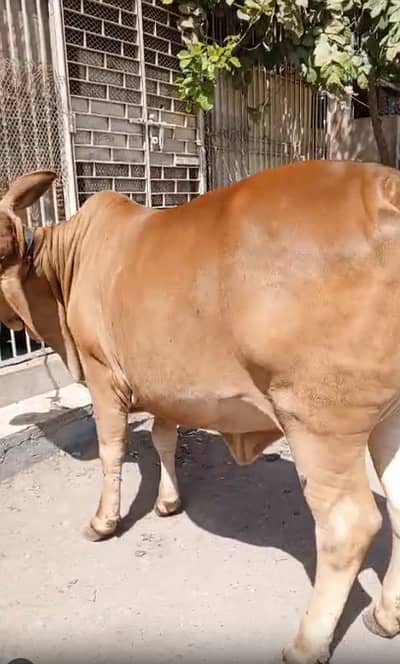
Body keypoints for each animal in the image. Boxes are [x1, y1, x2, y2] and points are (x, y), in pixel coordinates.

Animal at [1, 160, 400, 663]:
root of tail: (387, 188)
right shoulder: (166, 385)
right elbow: (163, 439)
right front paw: (168, 501)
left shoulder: (102, 374)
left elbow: (112, 449)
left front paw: (103, 522)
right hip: (386, 417)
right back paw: (385, 616)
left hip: (317, 419)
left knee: (348, 526)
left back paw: (306, 644)